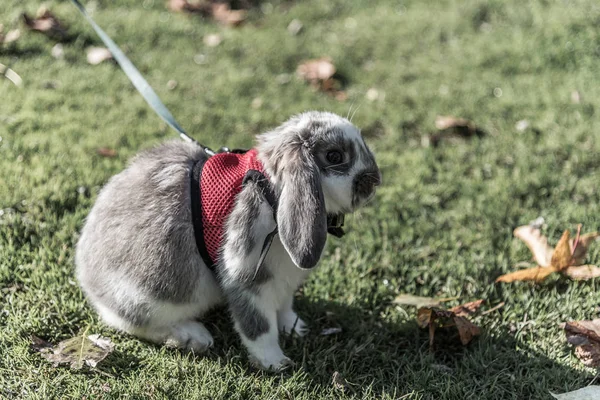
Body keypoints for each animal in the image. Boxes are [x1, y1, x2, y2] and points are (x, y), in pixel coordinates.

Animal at [76, 110, 380, 368]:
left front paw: (295, 327)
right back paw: (193, 337)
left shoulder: (284, 279)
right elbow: (258, 326)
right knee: (135, 323)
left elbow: (284, 306)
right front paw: (275, 362)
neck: (273, 192)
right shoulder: (246, 276)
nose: (374, 180)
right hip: (152, 298)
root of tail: (86, 278)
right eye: (334, 155)